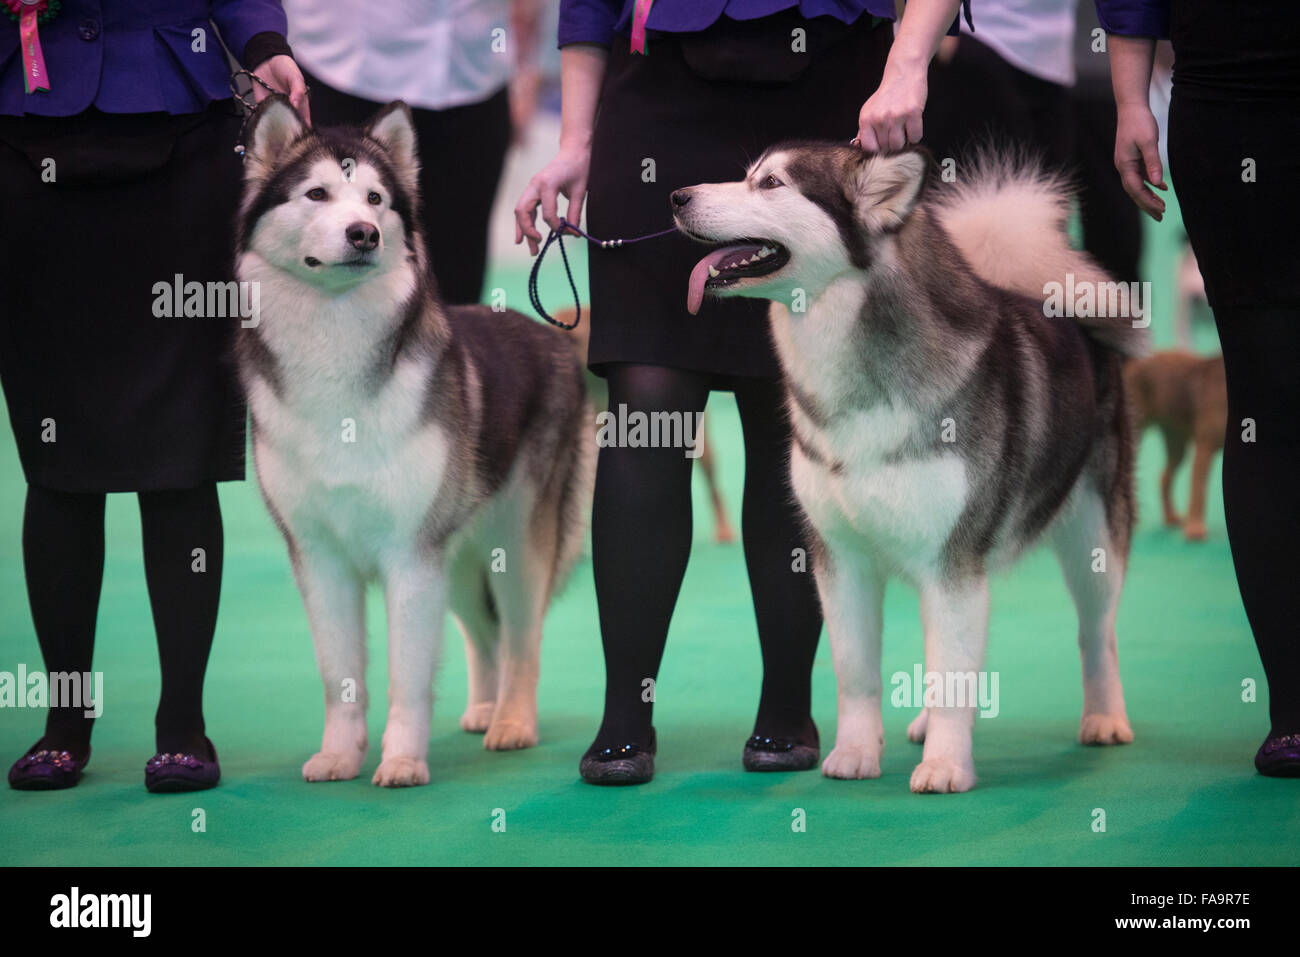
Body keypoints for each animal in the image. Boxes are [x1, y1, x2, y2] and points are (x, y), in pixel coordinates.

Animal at [235, 95, 595, 785]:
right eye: (317, 194)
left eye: (375, 199)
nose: (363, 234)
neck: (335, 345)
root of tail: (553, 336)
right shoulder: (320, 555)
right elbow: (340, 673)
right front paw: (339, 755)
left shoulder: (410, 552)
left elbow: (408, 672)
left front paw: (401, 760)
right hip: (458, 556)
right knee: (483, 633)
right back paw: (483, 708)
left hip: (513, 541)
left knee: (521, 636)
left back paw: (513, 721)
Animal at [676, 143, 1144, 790]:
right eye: (749, 175)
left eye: (770, 184)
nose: (677, 196)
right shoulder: (840, 558)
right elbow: (856, 669)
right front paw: (855, 754)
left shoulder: (952, 557)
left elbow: (952, 671)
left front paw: (946, 766)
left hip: (1092, 537)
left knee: (1097, 631)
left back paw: (1105, 718)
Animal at [1128, 351, 1227, 540]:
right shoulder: (1205, 447)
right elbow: (1198, 490)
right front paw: (1195, 529)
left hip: (1176, 442)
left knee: (1164, 477)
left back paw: (1171, 517)